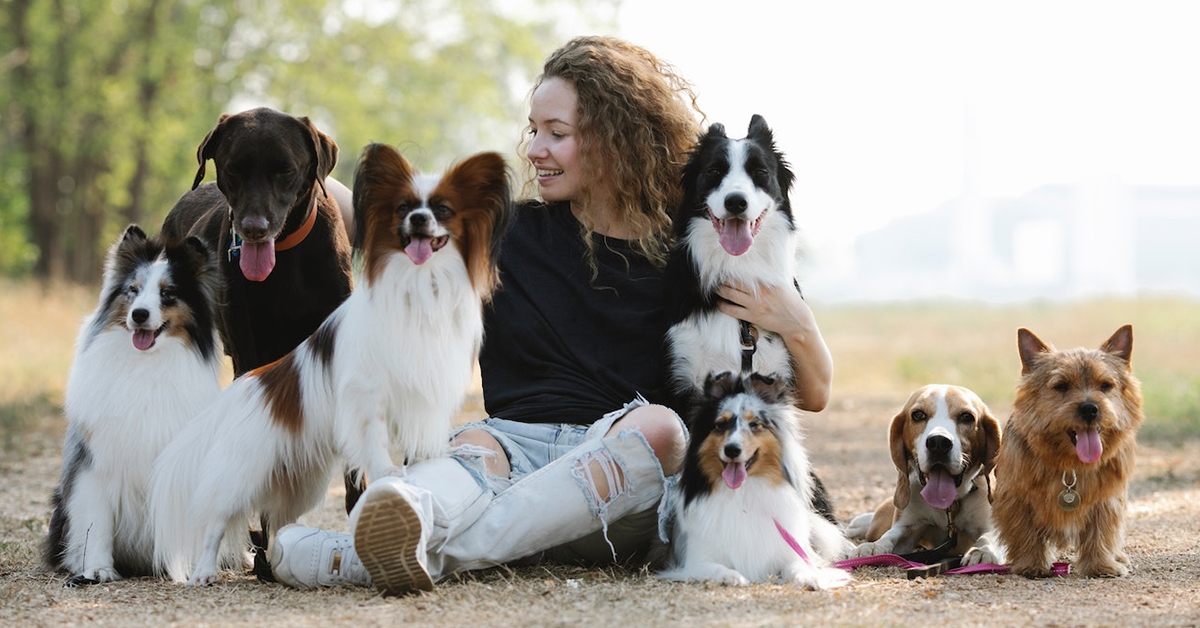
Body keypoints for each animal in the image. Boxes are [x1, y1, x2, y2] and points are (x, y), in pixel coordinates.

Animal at [44, 226, 223, 590]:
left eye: (168, 294)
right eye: (133, 290)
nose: (139, 314)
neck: (146, 365)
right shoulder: (95, 465)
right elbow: (96, 522)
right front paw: (97, 570)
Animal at [150, 145, 511, 588]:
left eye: (443, 209)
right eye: (404, 208)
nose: (418, 219)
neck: (418, 287)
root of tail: (242, 391)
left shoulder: (426, 390)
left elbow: (423, 442)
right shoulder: (366, 394)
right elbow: (375, 443)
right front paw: (390, 476)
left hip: (297, 483)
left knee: (278, 522)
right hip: (241, 475)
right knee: (217, 521)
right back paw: (204, 571)